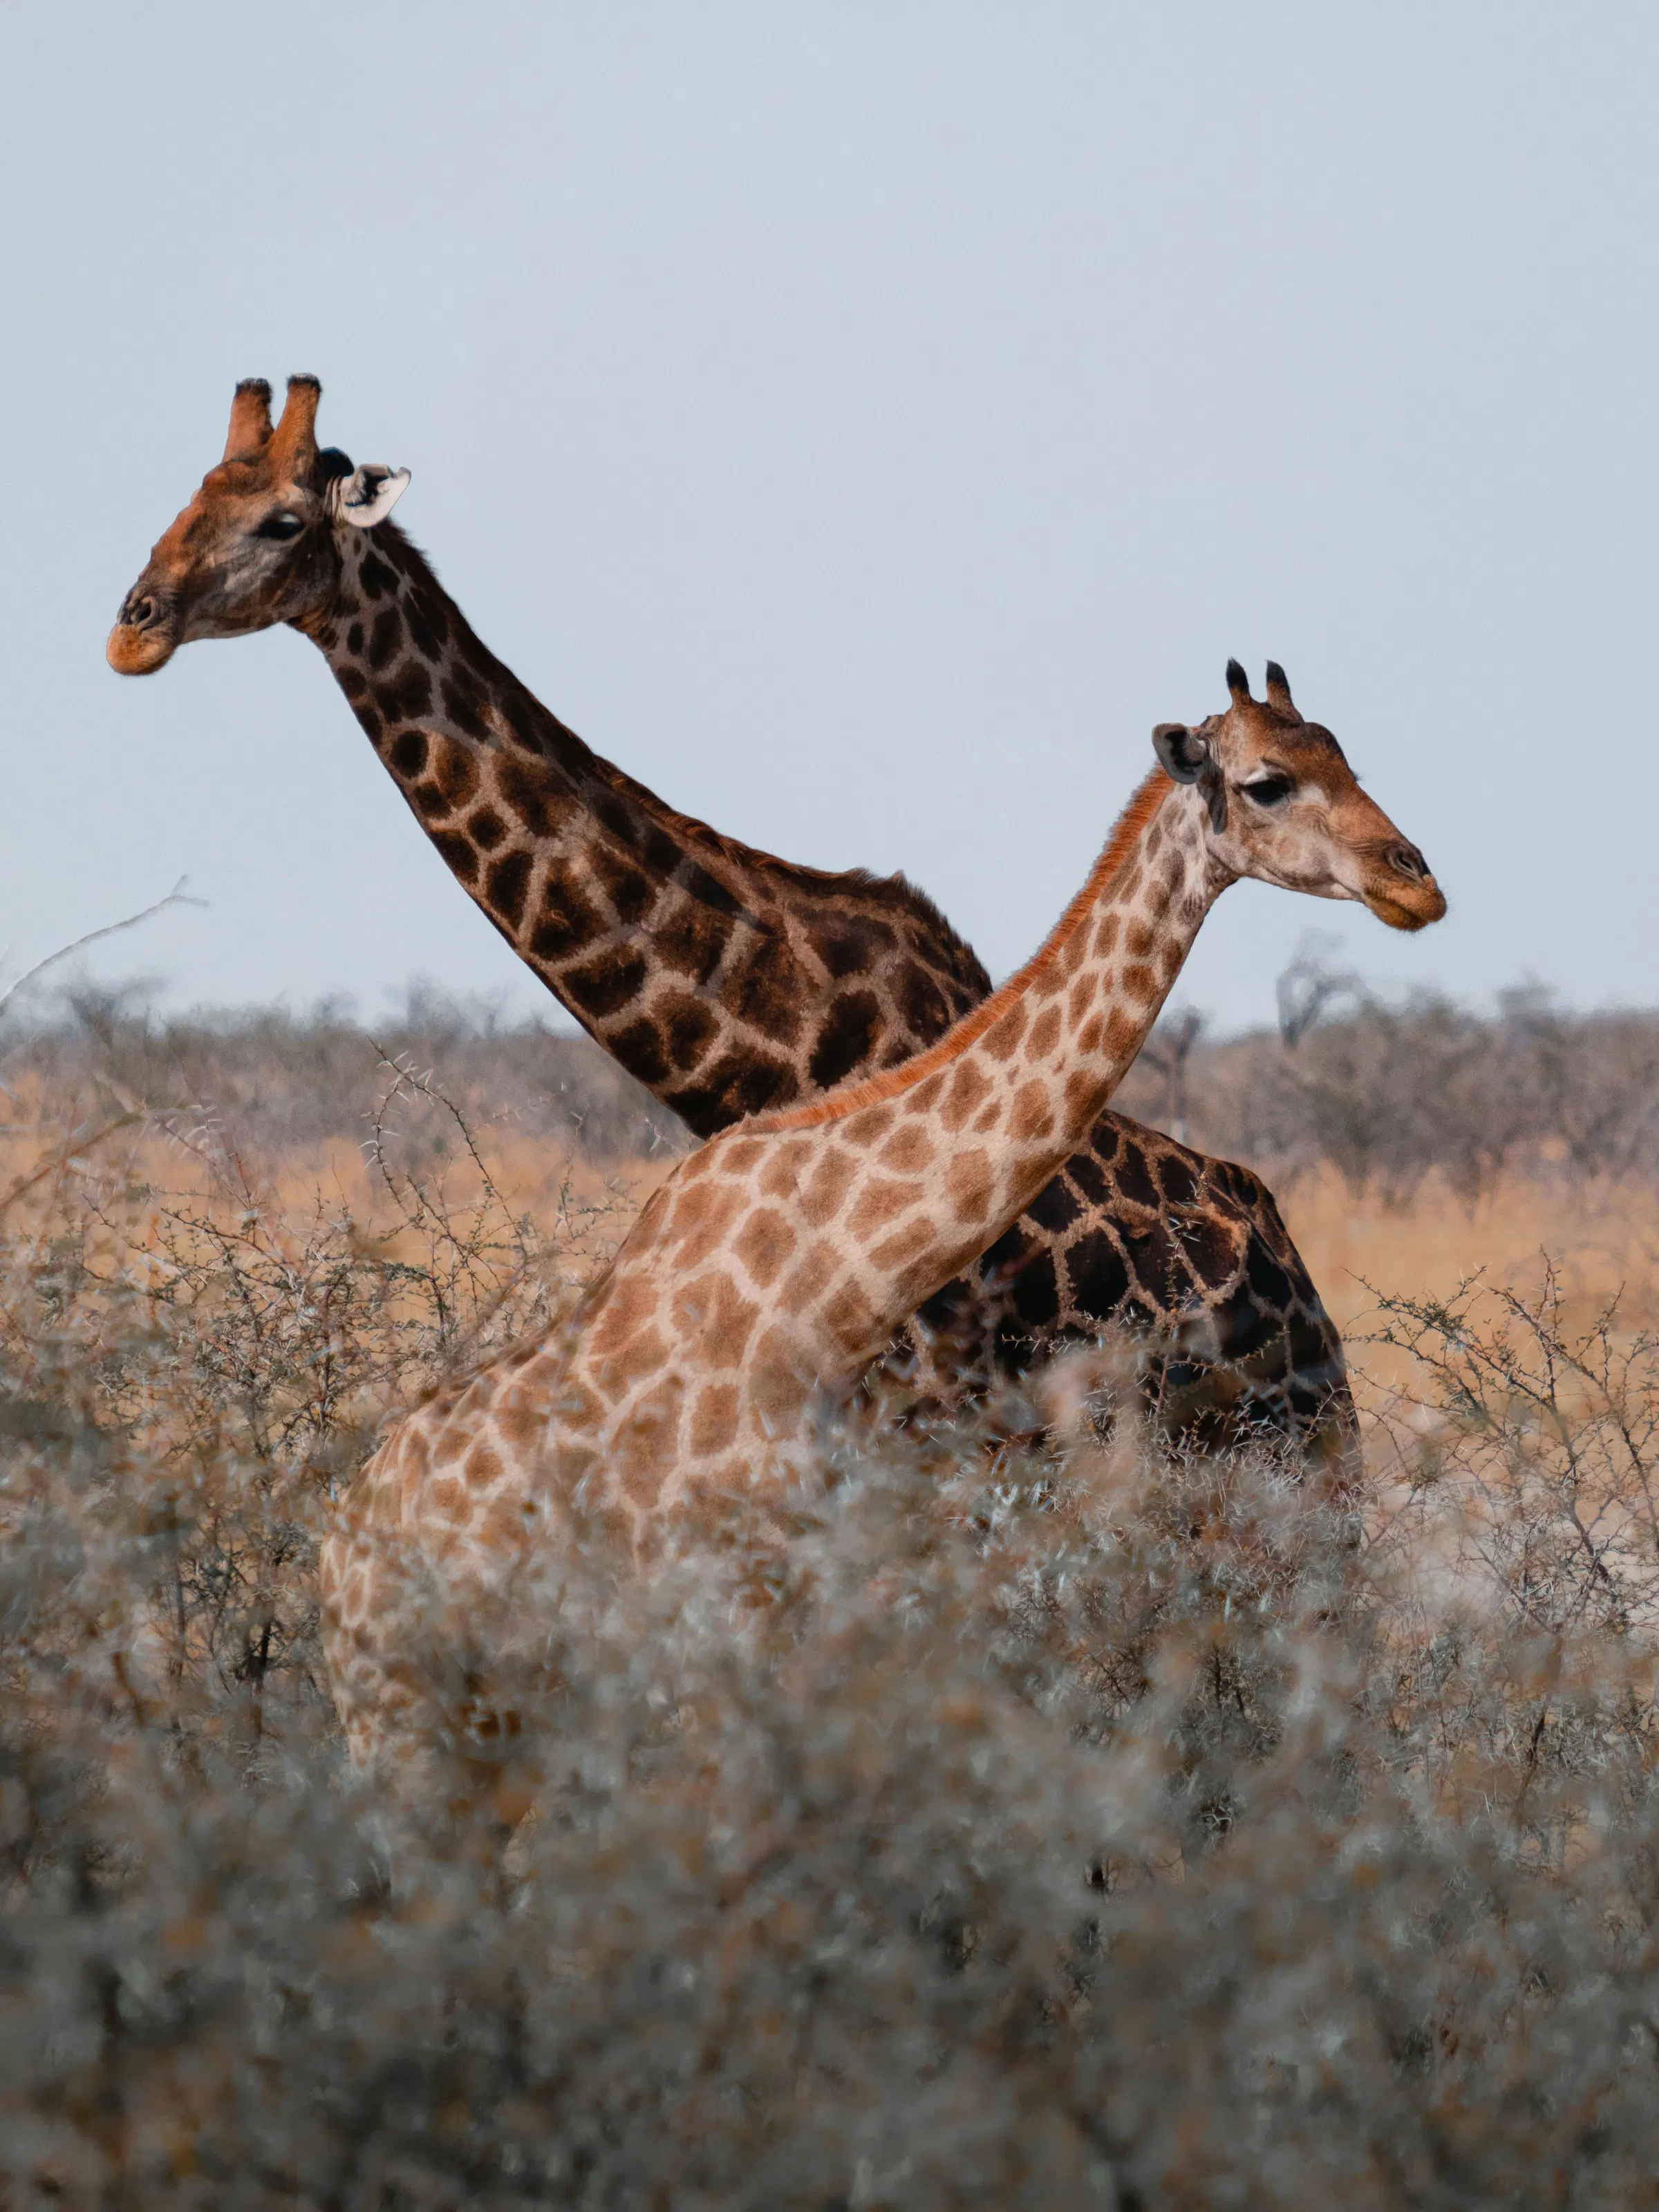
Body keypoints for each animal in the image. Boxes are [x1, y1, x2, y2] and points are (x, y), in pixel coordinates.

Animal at [108, 376, 1361, 1454]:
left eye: (279, 522)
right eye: (188, 496)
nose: (133, 625)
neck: (775, 1053)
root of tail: (1298, 1283)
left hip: (1284, 1458)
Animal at [312, 670, 1441, 1777]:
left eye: (1344, 756)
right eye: (1265, 783)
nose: (1416, 881)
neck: (827, 1285)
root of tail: (334, 1541)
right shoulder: (722, 1619)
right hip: (398, 1717)